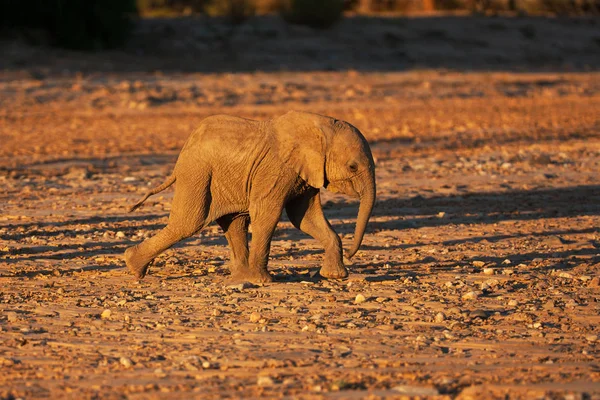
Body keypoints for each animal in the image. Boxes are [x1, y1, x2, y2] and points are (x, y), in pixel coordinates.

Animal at [125, 111, 376, 282]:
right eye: (353, 167)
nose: (352, 254)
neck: (320, 128)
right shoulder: (277, 169)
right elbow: (268, 212)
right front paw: (263, 281)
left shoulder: (305, 172)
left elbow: (304, 217)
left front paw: (334, 276)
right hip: (197, 171)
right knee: (189, 222)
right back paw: (133, 267)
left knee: (234, 221)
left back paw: (240, 277)